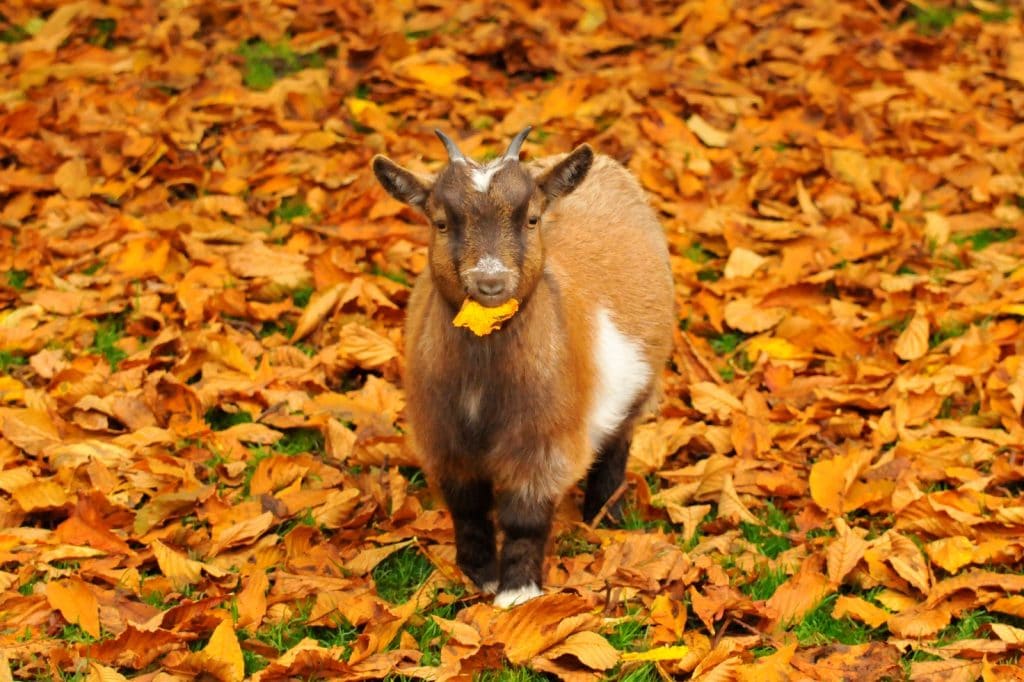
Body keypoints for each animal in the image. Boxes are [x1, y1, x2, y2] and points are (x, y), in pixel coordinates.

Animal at [372, 127, 675, 606]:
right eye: (441, 222)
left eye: (532, 219)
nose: (490, 281)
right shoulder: (442, 439)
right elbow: (468, 509)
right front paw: (479, 574)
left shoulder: (543, 442)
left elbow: (525, 517)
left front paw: (517, 593)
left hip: (642, 384)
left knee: (617, 443)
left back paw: (603, 515)